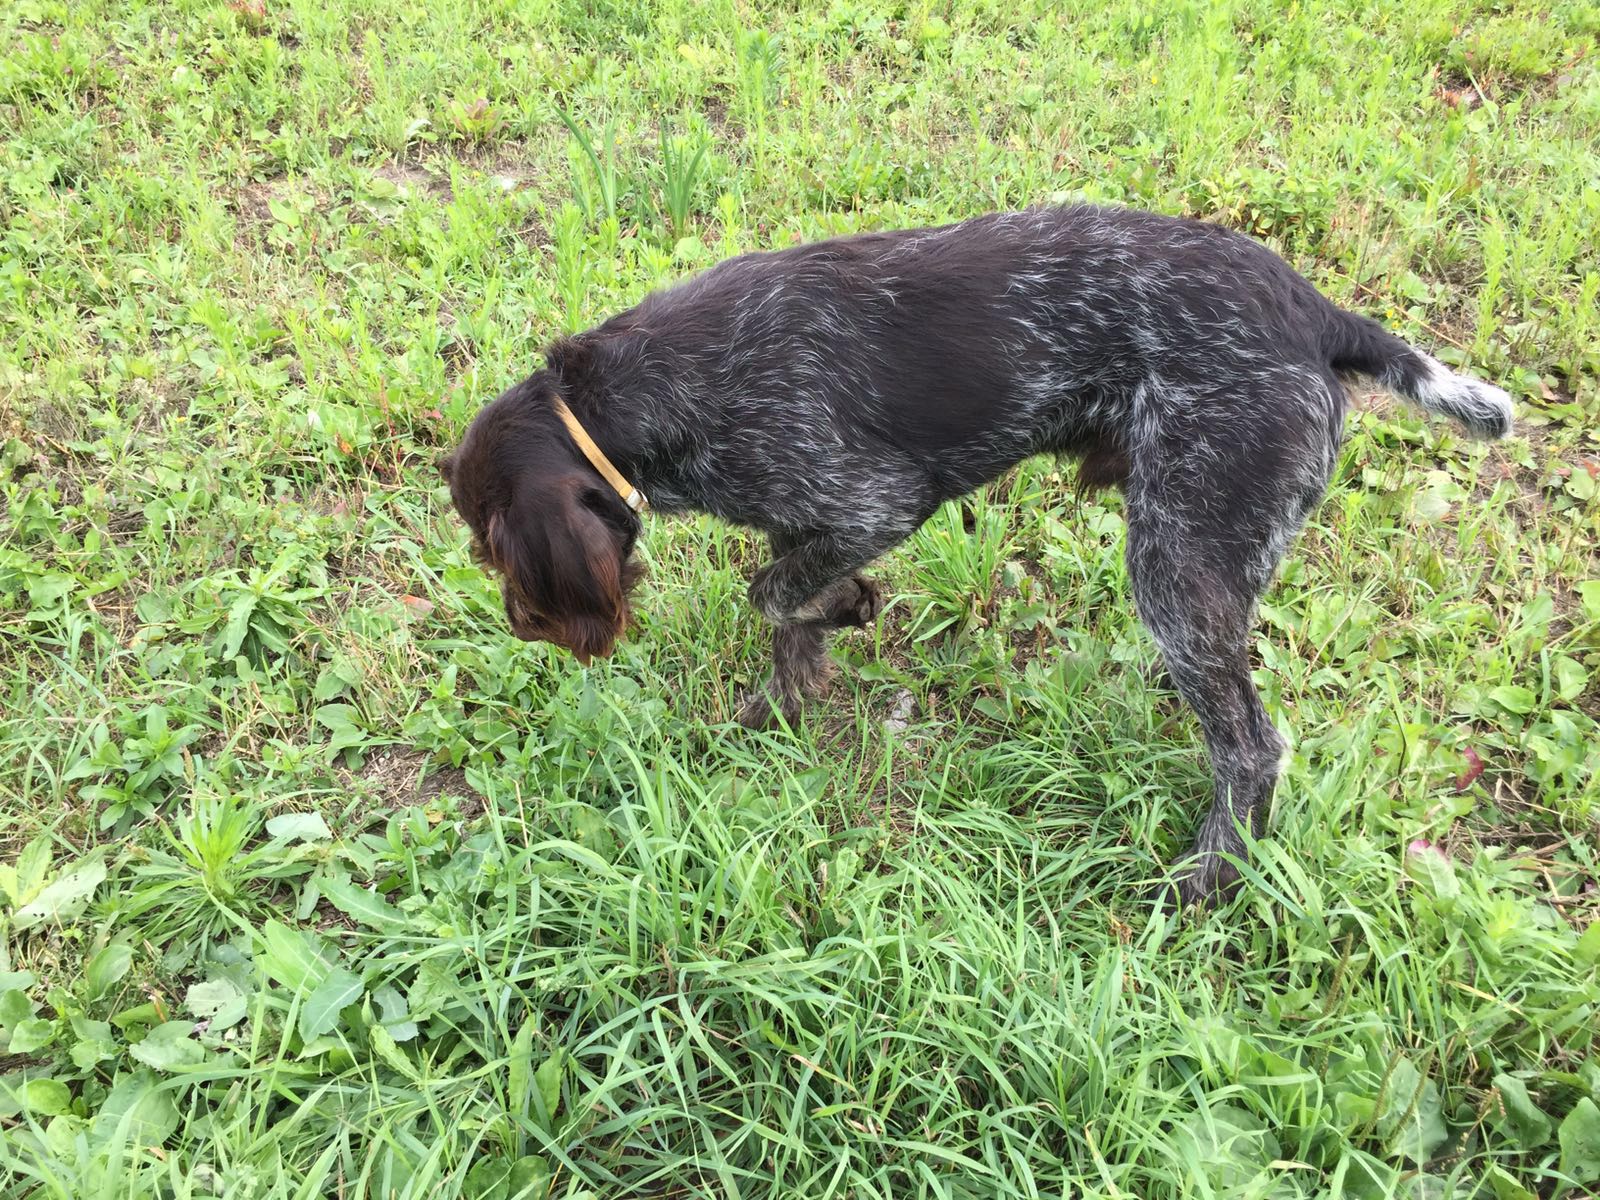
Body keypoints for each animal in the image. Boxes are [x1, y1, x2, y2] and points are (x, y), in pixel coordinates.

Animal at [440, 204, 1512, 906]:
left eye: (488, 552)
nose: (521, 624)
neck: (641, 390)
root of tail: (1315, 312)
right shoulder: (803, 512)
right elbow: (789, 617)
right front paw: (785, 699)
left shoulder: (871, 498)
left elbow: (769, 592)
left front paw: (845, 609)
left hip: (1175, 559)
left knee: (1252, 745)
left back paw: (1210, 876)